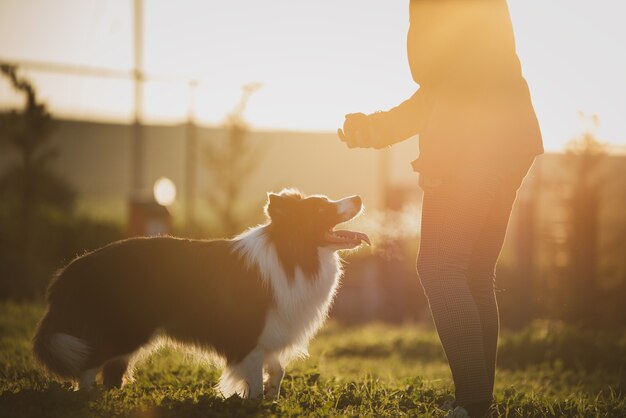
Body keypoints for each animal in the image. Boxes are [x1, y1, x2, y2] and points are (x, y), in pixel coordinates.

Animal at [33, 189, 366, 398]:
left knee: (110, 369)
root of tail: (76, 267)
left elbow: (277, 370)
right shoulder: (248, 336)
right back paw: (88, 397)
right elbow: (255, 379)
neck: (291, 256)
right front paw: (255, 402)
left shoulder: (270, 331)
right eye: (322, 207)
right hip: (127, 328)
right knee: (89, 363)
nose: (359, 197)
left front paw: (273, 397)